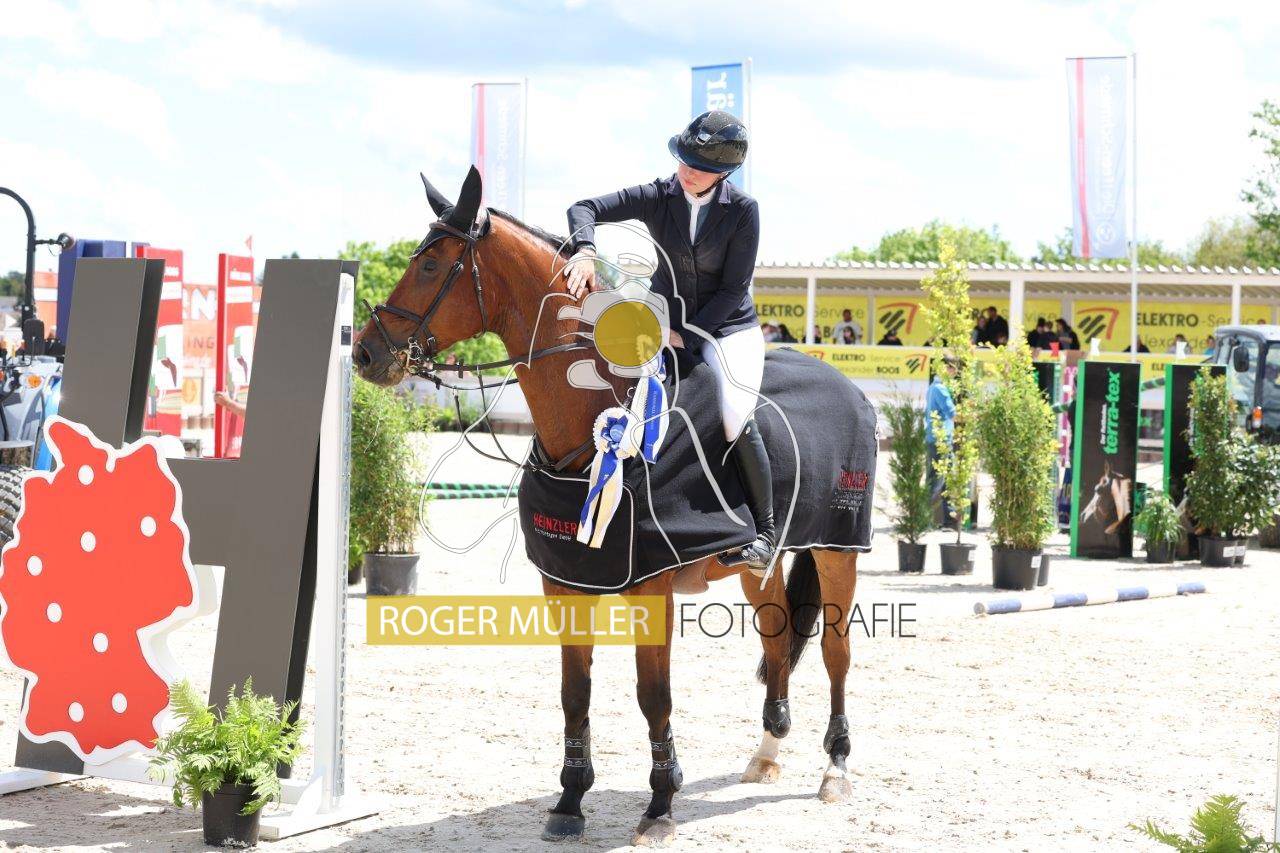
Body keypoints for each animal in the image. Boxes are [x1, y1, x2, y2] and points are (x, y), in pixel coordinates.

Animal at [353, 166, 860, 846]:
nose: (367, 354)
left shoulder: (651, 587)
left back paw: (835, 770)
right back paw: (766, 754)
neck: (593, 416)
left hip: (838, 548)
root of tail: (849, 384)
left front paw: (661, 805)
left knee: (835, 652)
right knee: (778, 638)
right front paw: (569, 801)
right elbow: (576, 692)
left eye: (432, 265)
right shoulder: (565, 581)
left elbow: (654, 695)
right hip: (761, 564)